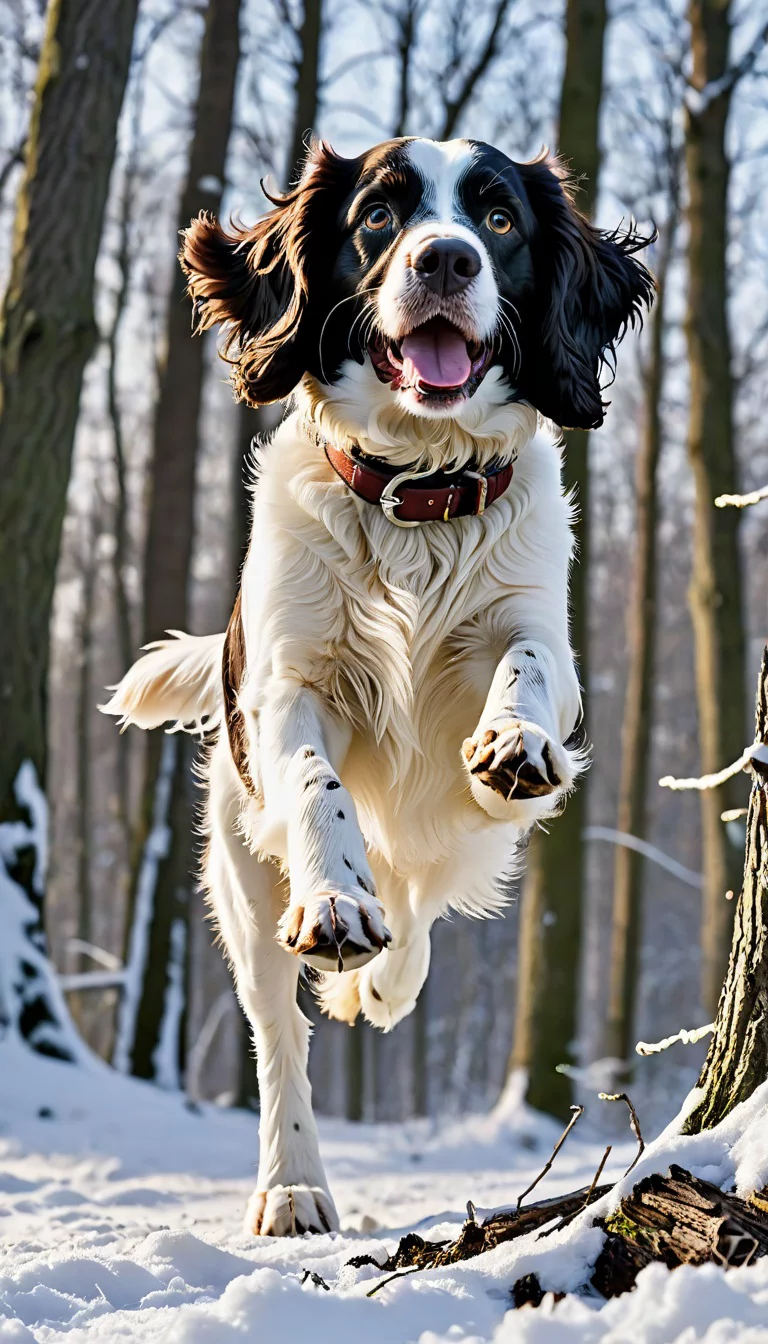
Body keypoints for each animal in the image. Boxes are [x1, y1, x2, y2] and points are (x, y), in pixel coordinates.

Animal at [104, 139, 650, 1236]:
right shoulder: (285, 688)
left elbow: (528, 667)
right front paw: (335, 906)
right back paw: (295, 1181)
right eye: (378, 217)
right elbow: (320, 790)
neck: (417, 494)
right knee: (281, 1031)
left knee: (422, 905)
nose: (445, 258)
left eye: (498, 217)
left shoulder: (540, 636)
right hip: (238, 877)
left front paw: (514, 744)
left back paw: (386, 982)